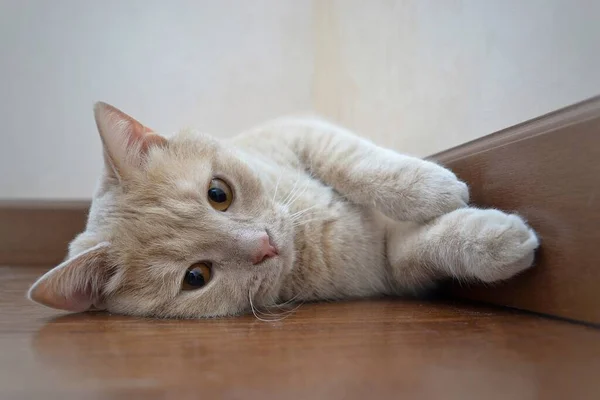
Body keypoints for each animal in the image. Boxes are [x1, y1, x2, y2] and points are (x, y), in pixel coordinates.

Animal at [27, 103, 540, 318]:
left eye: (218, 193)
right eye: (196, 277)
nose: (264, 245)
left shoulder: (300, 129)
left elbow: (354, 159)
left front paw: (429, 186)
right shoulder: (391, 266)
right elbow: (424, 247)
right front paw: (496, 242)